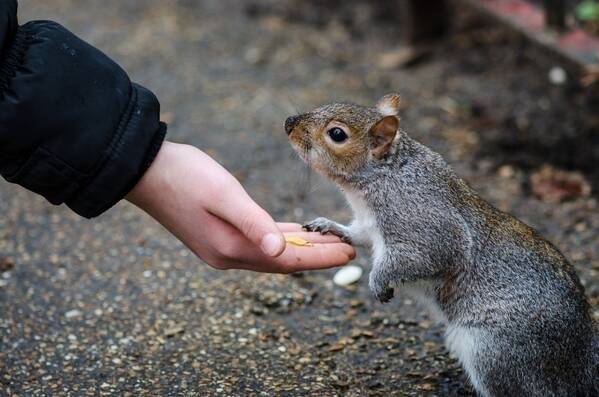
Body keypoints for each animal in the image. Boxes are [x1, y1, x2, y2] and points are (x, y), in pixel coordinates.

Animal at [286, 93, 599, 396]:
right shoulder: (368, 225)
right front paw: (328, 226)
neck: (383, 176)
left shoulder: (424, 224)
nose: (289, 123)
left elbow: (425, 256)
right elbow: (358, 235)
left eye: (337, 134)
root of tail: (582, 357)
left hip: (495, 351)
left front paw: (378, 281)